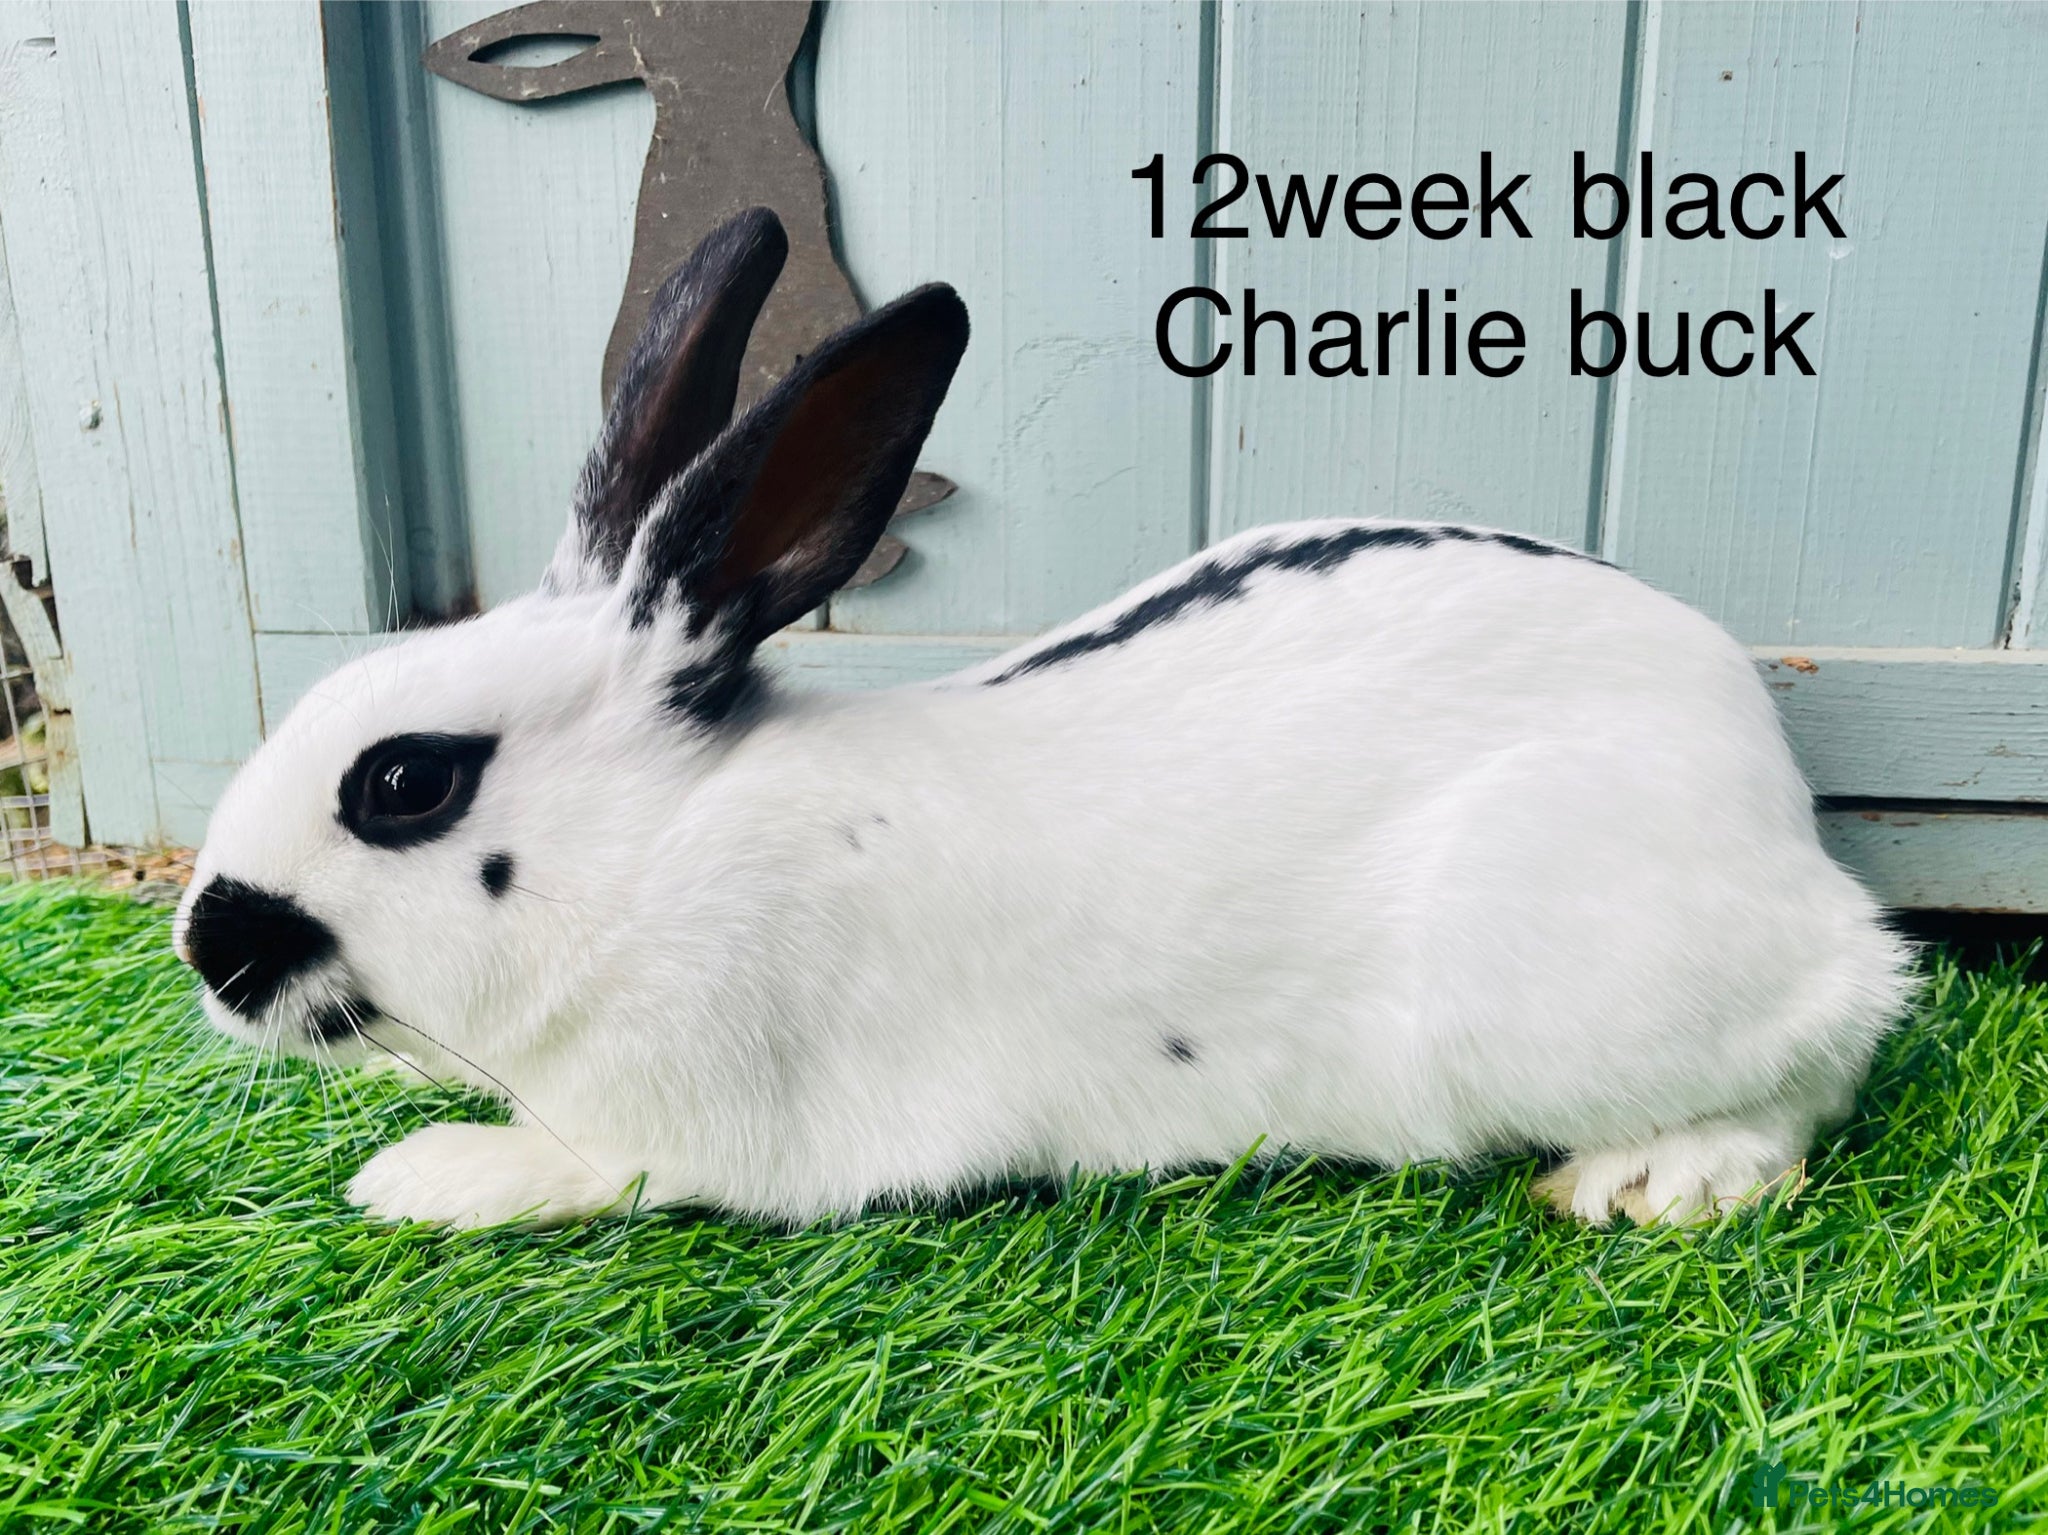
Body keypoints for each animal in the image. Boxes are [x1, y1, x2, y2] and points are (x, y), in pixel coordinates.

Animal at [174, 206, 1913, 1232]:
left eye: (407, 782)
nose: (209, 944)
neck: (659, 850)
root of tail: (1770, 795)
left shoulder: (691, 1120)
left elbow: (585, 1168)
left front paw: (424, 1174)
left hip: (1557, 981)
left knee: (1840, 1036)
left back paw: (1660, 1173)